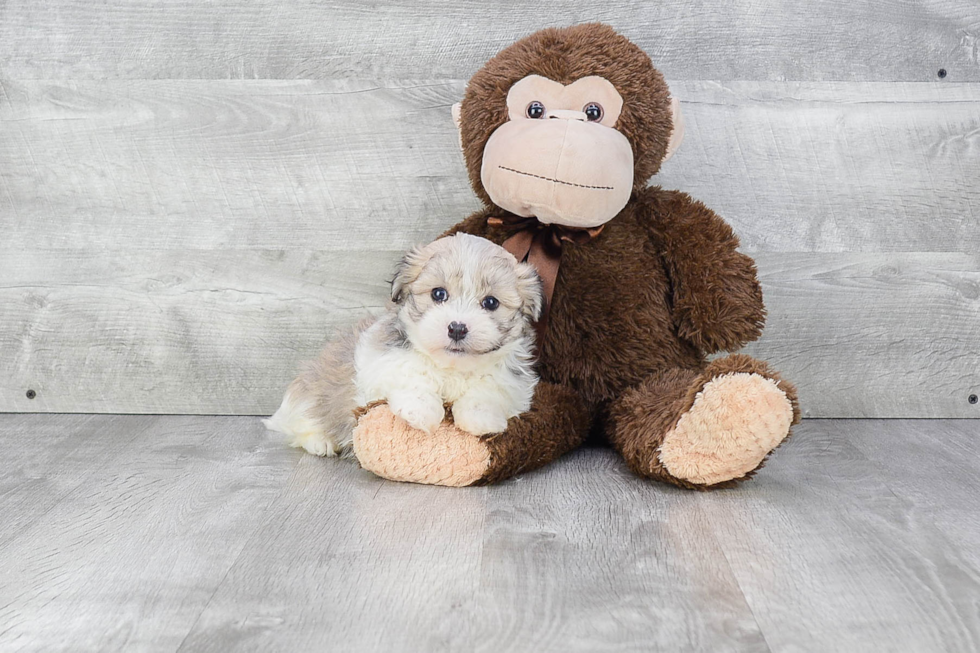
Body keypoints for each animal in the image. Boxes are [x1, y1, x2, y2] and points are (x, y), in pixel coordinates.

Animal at [264, 236, 544, 458]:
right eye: (439, 294)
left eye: (490, 302)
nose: (457, 328)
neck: (451, 367)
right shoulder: (381, 361)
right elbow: (411, 374)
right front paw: (420, 411)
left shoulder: (513, 382)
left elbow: (490, 389)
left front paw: (481, 417)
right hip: (310, 394)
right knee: (300, 423)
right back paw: (320, 441)